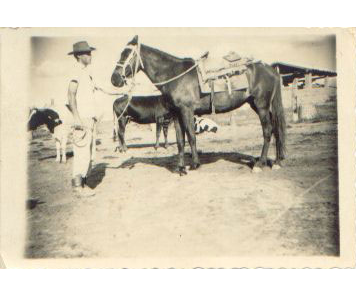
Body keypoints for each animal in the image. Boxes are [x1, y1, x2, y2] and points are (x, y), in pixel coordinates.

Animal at [111, 36, 286, 175]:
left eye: (128, 55)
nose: (114, 79)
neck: (174, 75)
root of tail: (271, 70)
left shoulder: (187, 111)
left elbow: (191, 136)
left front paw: (195, 164)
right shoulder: (176, 114)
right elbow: (180, 141)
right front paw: (181, 168)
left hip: (261, 105)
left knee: (268, 130)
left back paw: (260, 164)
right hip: (258, 105)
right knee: (276, 128)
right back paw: (277, 161)